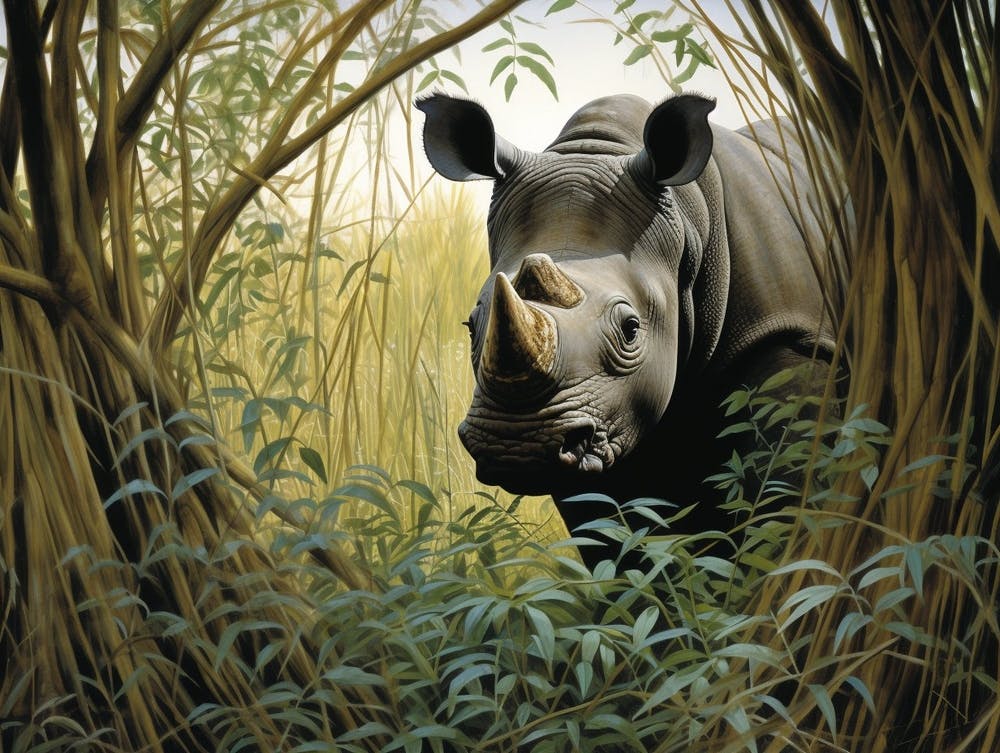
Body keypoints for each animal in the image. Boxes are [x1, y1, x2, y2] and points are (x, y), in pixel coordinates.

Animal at [417, 92, 838, 551]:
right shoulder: (599, 415)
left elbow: (781, 506)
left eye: (631, 329)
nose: (516, 443)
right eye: (472, 326)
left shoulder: (791, 339)